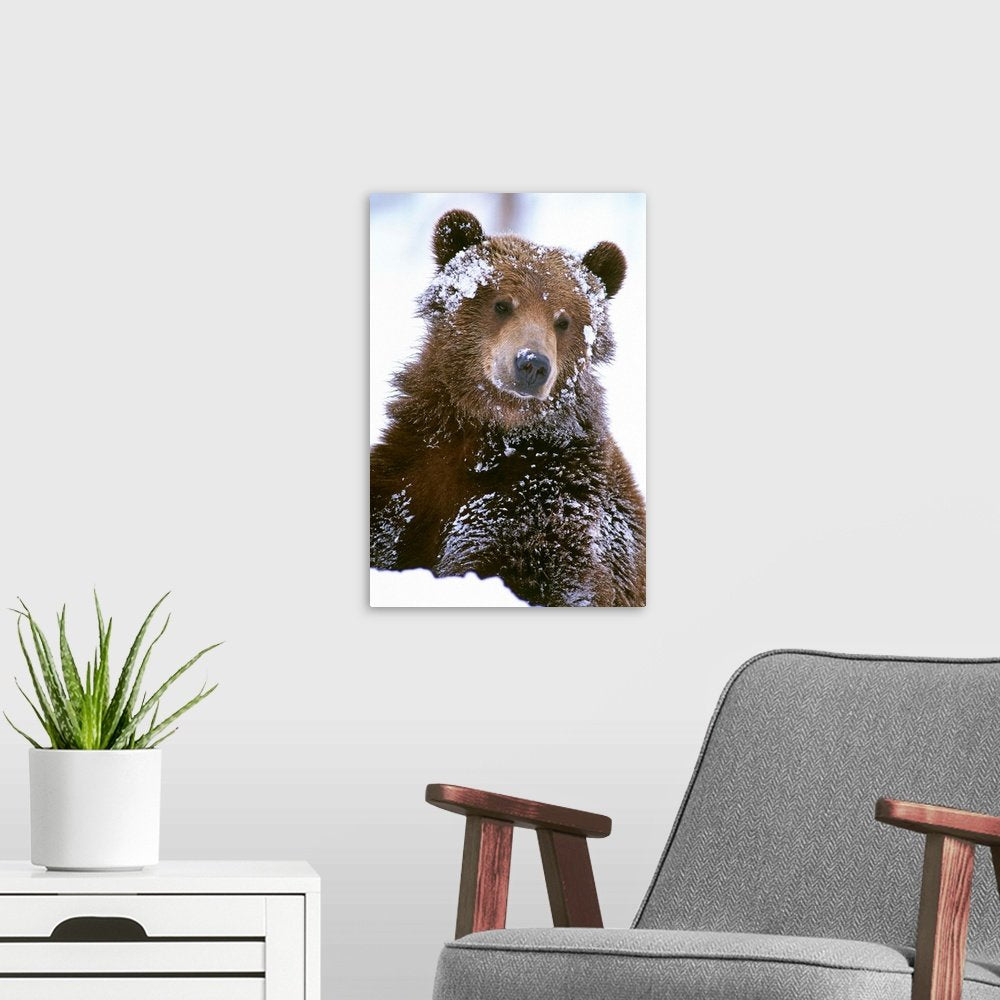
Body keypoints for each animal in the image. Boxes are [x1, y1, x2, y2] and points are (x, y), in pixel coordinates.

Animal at [370, 209, 646, 607]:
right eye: (502, 303)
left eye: (563, 320)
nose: (532, 364)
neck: (488, 433)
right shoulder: (410, 472)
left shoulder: (543, 501)